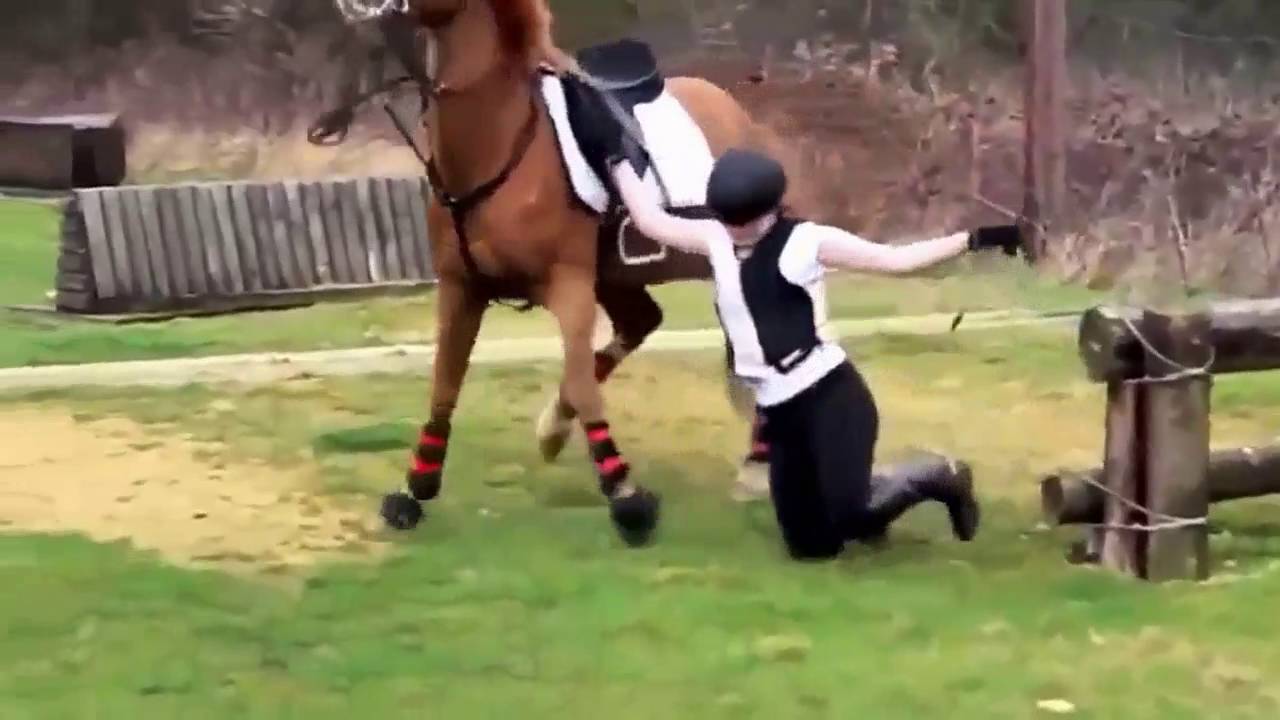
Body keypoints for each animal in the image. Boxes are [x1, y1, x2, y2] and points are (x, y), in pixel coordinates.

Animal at [327, 0, 808, 545]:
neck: (499, 142)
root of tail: (745, 120)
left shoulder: (568, 285)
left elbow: (580, 381)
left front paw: (626, 498)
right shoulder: (461, 289)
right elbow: (445, 384)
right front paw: (415, 489)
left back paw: (755, 464)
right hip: (617, 276)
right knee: (640, 323)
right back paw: (555, 427)